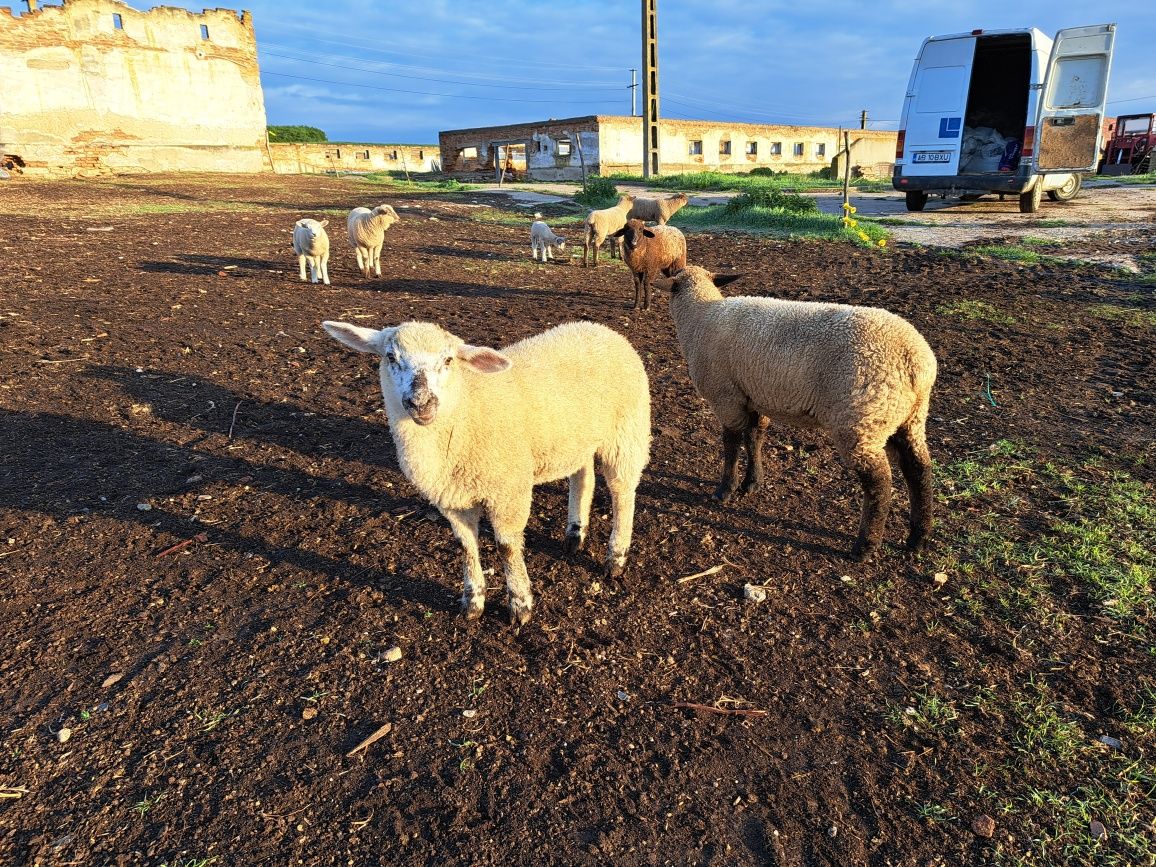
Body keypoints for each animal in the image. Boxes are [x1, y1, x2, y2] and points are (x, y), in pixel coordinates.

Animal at [321, 319, 656, 624]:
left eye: (448, 360)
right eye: (391, 357)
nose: (421, 403)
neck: (466, 407)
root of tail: (601, 328)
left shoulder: (508, 491)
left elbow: (506, 548)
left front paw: (520, 605)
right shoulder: (452, 500)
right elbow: (466, 546)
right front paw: (472, 603)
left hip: (627, 431)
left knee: (623, 493)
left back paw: (616, 558)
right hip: (576, 438)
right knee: (582, 476)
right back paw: (575, 534)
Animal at [656, 267, 934, 564]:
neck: (701, 316)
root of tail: (915, 361)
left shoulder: (726, 397)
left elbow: (731, 444)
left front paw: (725, 490)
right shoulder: (755, 397)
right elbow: (754, 438)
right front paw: (752, 483)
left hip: (860, 420)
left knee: (879, 484)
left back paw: (864, 547)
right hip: (905, 418)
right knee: (918, 469)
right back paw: (917, 538)